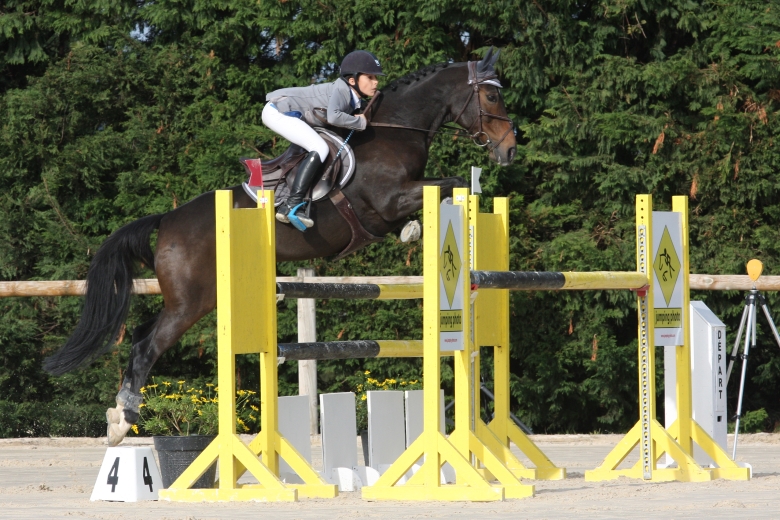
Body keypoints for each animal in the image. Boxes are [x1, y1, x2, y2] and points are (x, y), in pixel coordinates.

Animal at [44, 49, 516, 446]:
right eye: (492, 95)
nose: (509, 150)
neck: (394, 130)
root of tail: (168, 220)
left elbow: (442, 187)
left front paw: (415, 229)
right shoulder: (387, 199)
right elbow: (448, 182)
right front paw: (416, 227)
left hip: (192, 298)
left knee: (142, 336)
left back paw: (121, 413)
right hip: (192, 300)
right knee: (147, 347)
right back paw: (122, 423)